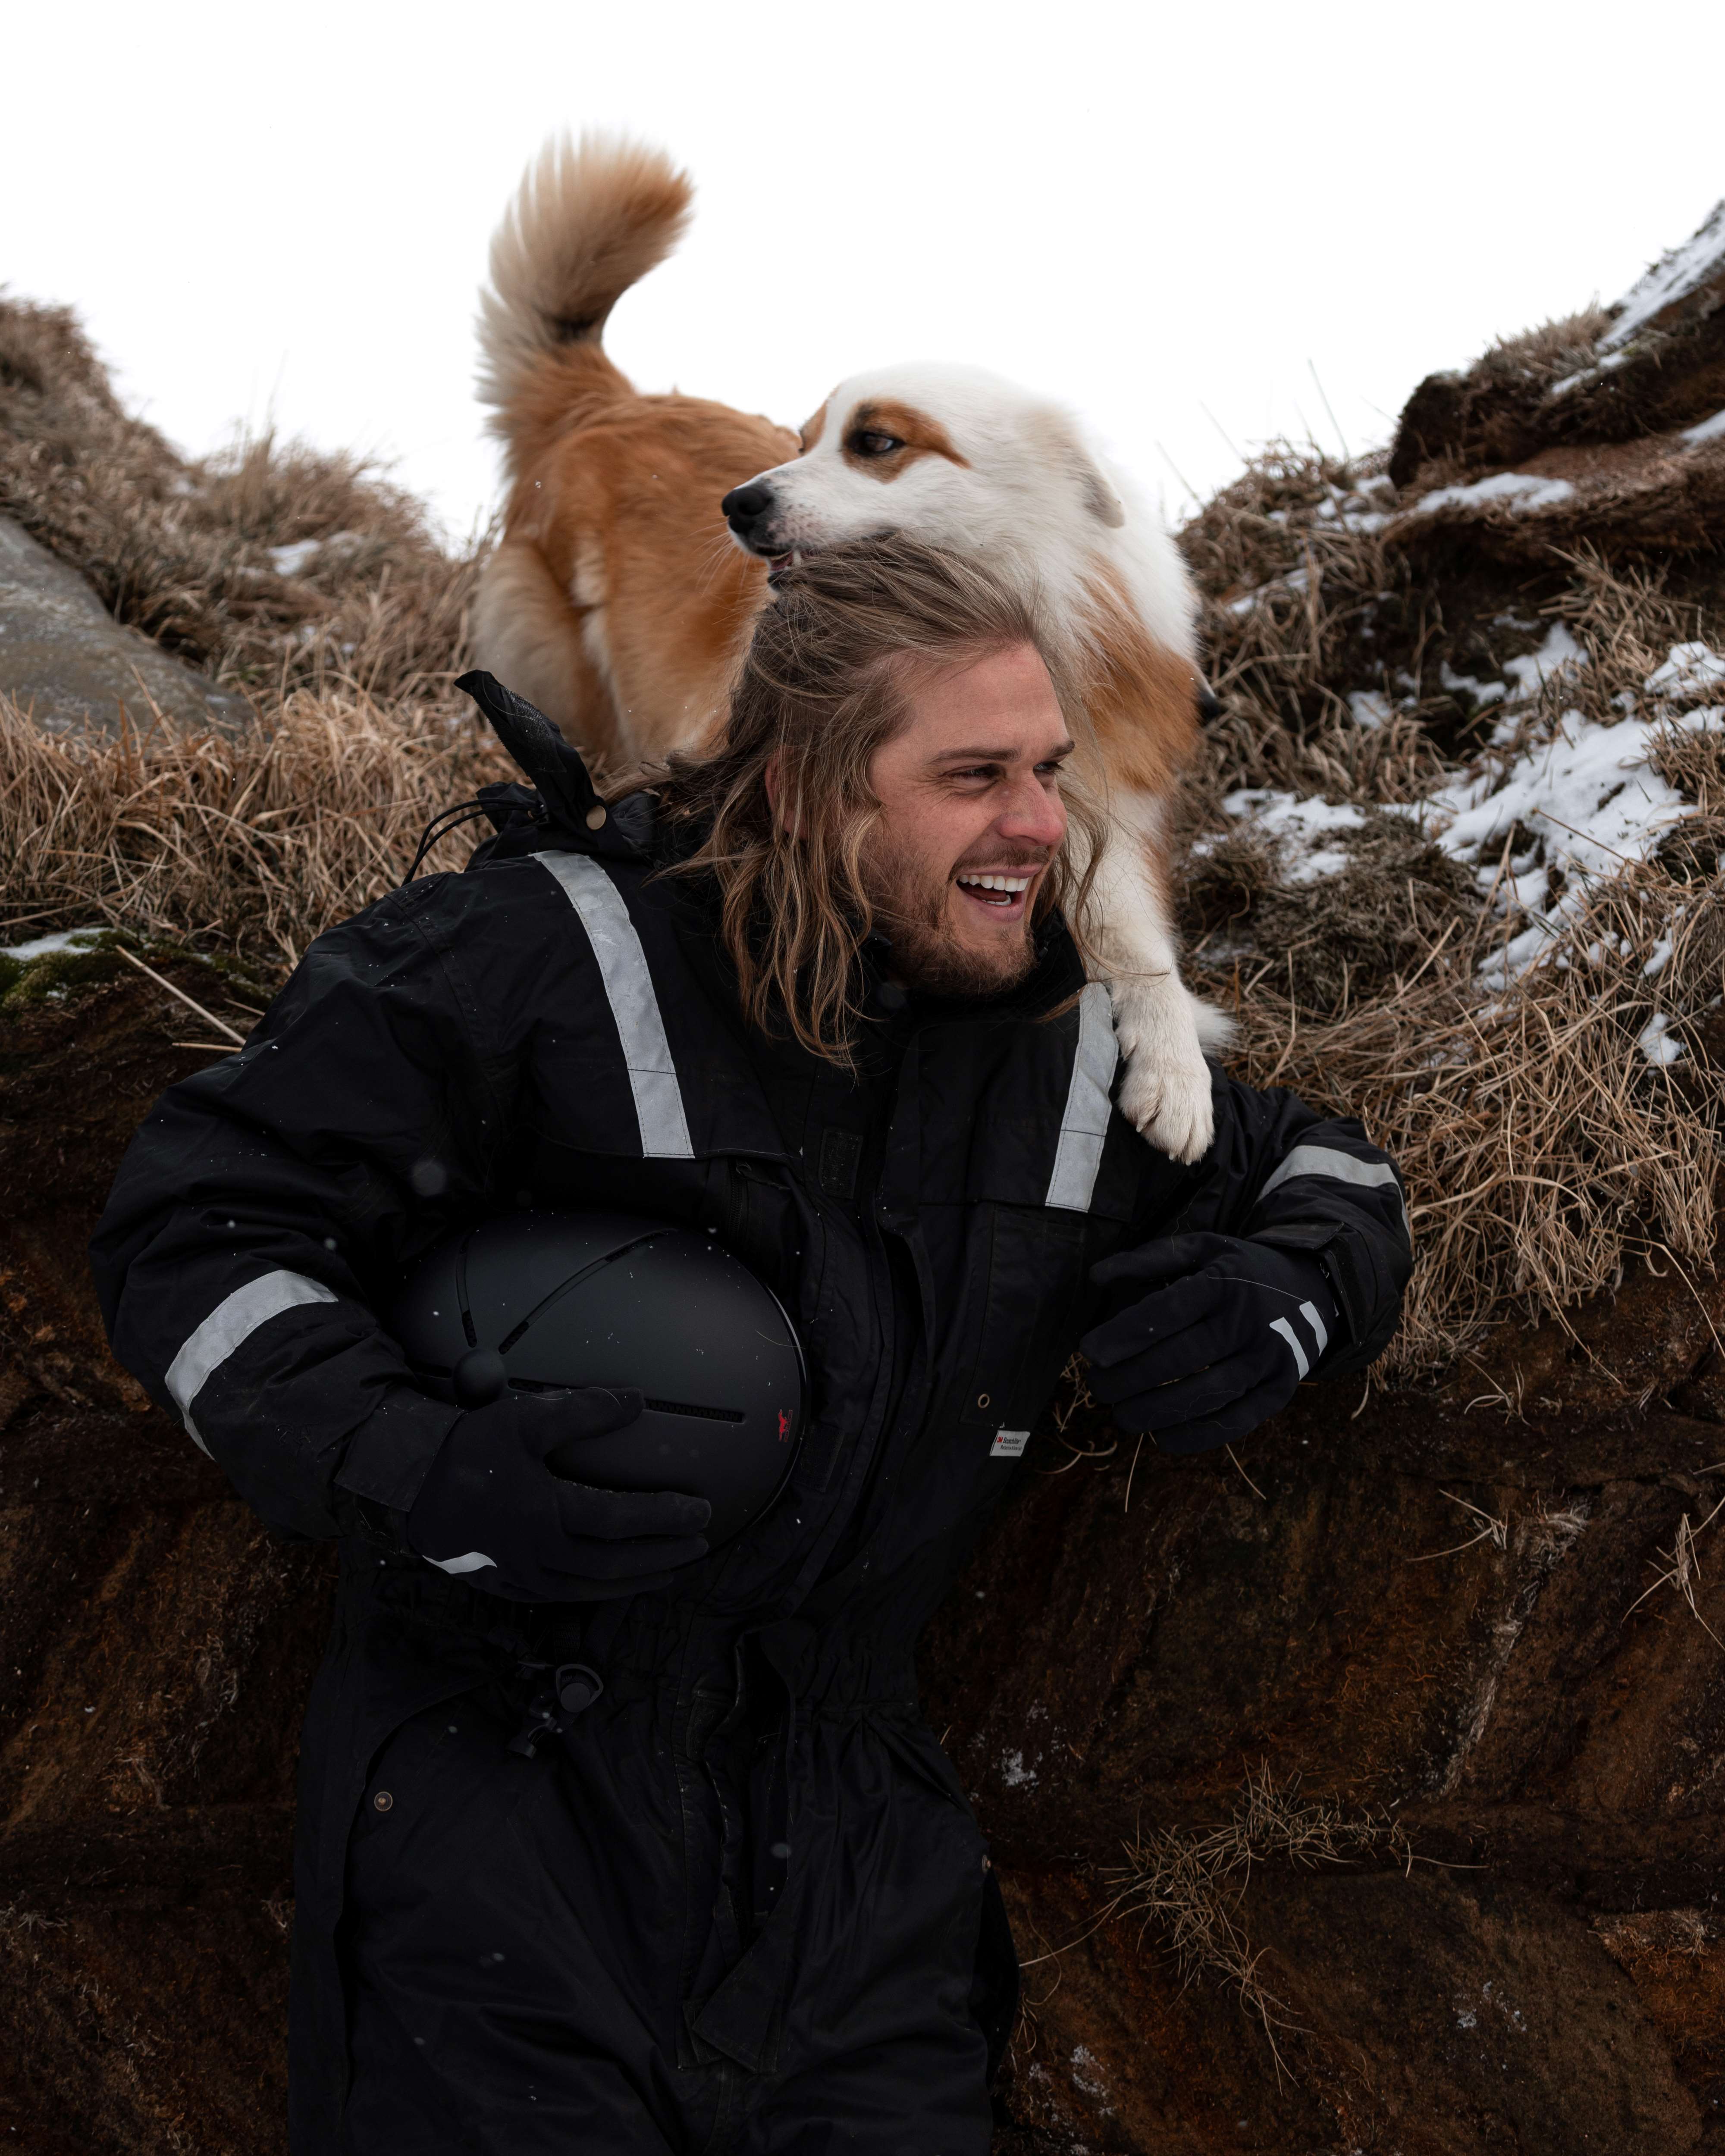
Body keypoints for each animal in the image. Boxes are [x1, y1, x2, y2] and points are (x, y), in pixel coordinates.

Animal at [472, 135, 1216, 1164]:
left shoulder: (1099, 816)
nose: (737, 504)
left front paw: (1177, 1072)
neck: (1016, 603)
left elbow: (1145, 955)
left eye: (876, 442)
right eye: (803, 439)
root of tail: (611, 402)